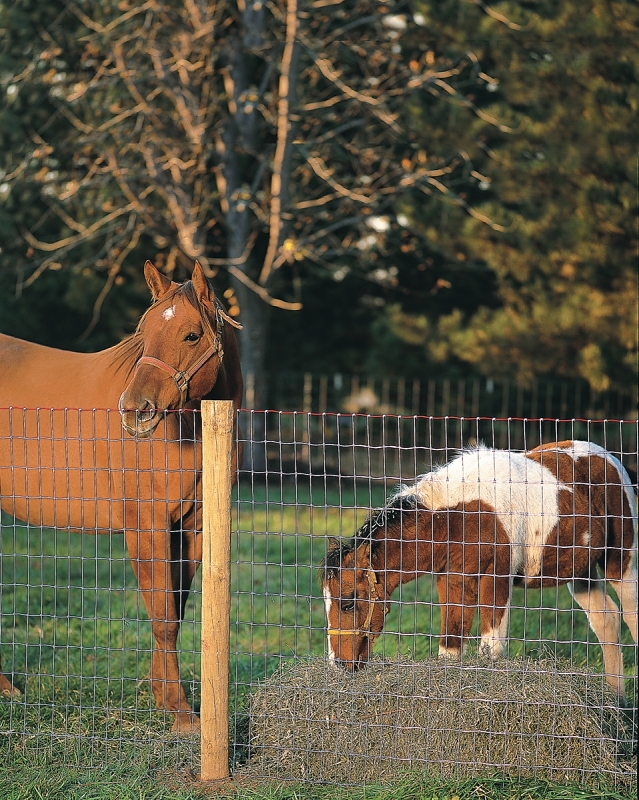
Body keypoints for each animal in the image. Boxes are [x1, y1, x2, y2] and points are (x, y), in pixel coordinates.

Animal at [0, 260, 243, 731]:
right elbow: (163, 615)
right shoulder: (145, 526)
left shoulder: (189, 528)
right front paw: (181, 712)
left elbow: (175, 612)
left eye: (191, 334)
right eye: (143, 332)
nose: (134, 410)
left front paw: (163, 697)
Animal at [322, 441, 638, 703]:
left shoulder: (496, 582)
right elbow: (450, 649)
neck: (458, 516)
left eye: (348, 602)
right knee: (607, 620)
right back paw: (616, 703)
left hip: (620, 562)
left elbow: (490, 650)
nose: (338, 664)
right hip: (580, 573)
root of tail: (611, 459)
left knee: (630, 615)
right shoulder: (451, 583)